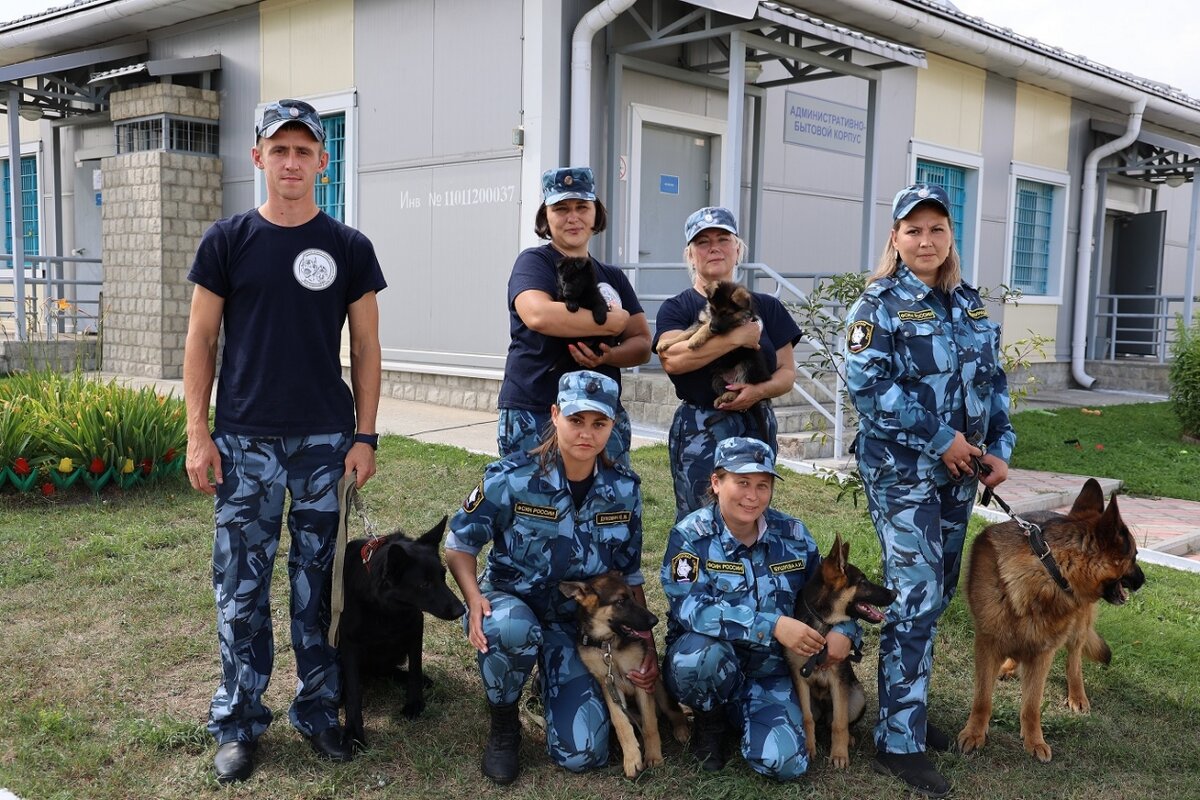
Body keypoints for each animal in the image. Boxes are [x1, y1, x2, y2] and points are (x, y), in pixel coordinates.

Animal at [343, 515, 468, 748]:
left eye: (443, 576)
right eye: (424, 584)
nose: (461, 610)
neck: (386, 609)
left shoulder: (415, 629)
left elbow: (415, 669)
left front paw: (415, 703)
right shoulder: (350, 646)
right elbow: (353, 692)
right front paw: (353, 733)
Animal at [556, 573, 691, 777]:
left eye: (633, 596)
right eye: (620, 601)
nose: (654, 621)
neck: (609, 644)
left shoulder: (641, 681)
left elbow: (650, 724)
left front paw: (653, 757)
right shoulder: (608, 685)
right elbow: (620, 722)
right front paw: (632, 758)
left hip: (658, 688)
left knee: (673, 712)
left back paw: (682, 730)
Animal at [955, 479, 1142, 767]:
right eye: (1134, 556)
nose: (1143, 580)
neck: (1050, 571)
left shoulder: (1044, 652)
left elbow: (1032, 705)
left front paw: (1034, 741)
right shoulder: (987, 643)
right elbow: (983, 699)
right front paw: (975, 732)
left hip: (1076, 629)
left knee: (1073, 661)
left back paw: (1077, 695)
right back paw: (1009, 667)